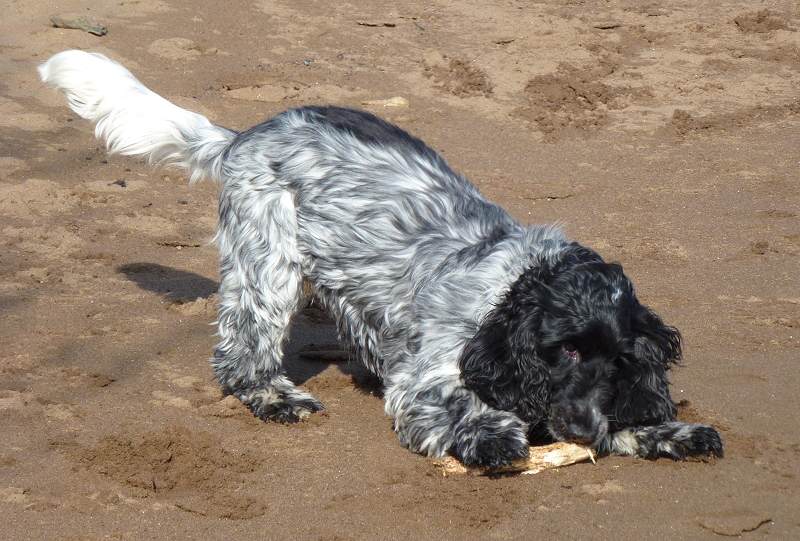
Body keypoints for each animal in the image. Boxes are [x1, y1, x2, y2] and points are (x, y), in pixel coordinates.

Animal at [40, 49, 720, 464]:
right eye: (567, 351)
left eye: (620, 359)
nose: (580, 431)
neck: (513, 285)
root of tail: (245, 136)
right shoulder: (431, 376)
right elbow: (453, 407)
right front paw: (490, 436)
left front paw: (668, 430)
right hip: (268, 264)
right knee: (242, 352)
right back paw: (272, 397)